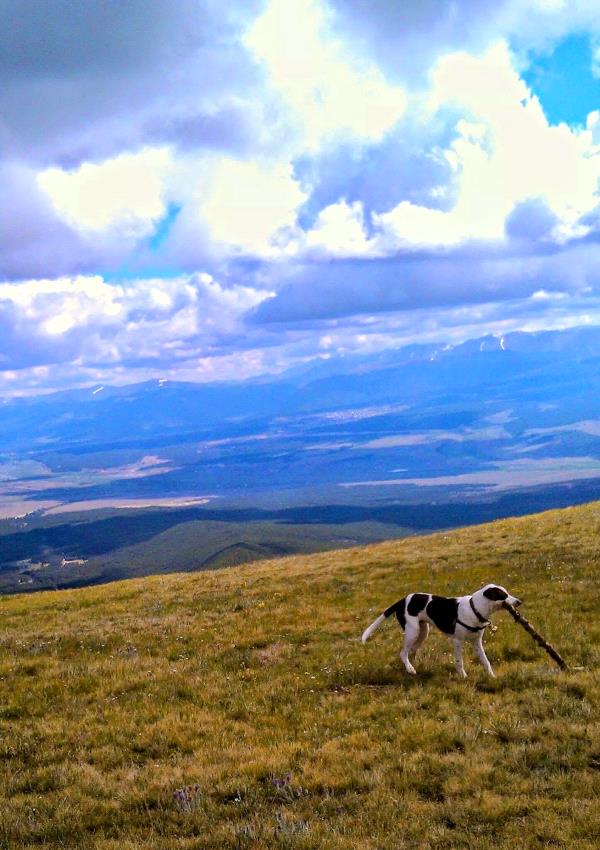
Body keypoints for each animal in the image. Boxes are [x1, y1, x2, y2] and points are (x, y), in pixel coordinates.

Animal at [360, 584, 520, 676]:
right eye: (503, 595)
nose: (519, 601)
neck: (475, 608)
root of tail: (402, 600)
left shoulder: (477, 642)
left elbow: (486, 662)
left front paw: (492, 677)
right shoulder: (457, 641)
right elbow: (459, 662)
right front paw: (463, 677)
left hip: (423, 632)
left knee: (412, 651)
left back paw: (412, 666)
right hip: (412, 631)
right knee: (403, 652)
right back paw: (410, 669)